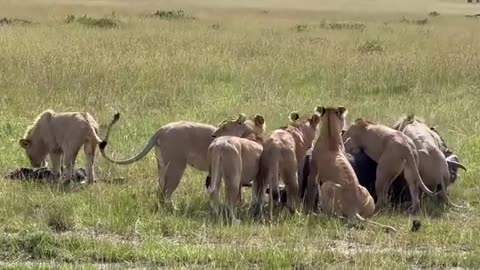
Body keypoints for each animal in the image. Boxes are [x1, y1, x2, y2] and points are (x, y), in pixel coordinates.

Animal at [98, 112, 266, 205]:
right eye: (222, 125)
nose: (214, 135)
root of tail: (161, 129)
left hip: (162, 166)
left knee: (160, 190)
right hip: (176, 167)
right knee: (166, 192)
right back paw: (173, 209)